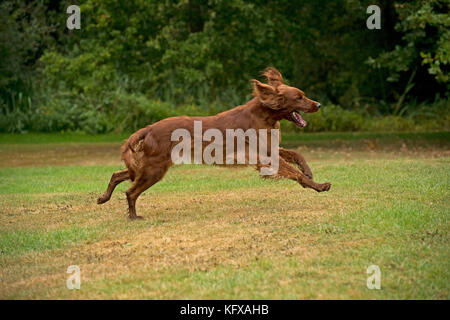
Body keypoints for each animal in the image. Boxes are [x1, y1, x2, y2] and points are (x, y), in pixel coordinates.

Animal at [97, 66, 330, 219]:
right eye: (299, 98)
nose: (319, 104)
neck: (265, 114)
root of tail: (148, 128)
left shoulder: (269, 149)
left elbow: (297, 156)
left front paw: (309, 171)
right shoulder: (263, 156)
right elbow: (294, 172)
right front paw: (319, 186)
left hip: (148, 166)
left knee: (118, 174)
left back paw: (103, 198)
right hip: (154, 169)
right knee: (131, 191)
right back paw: (133, 216)